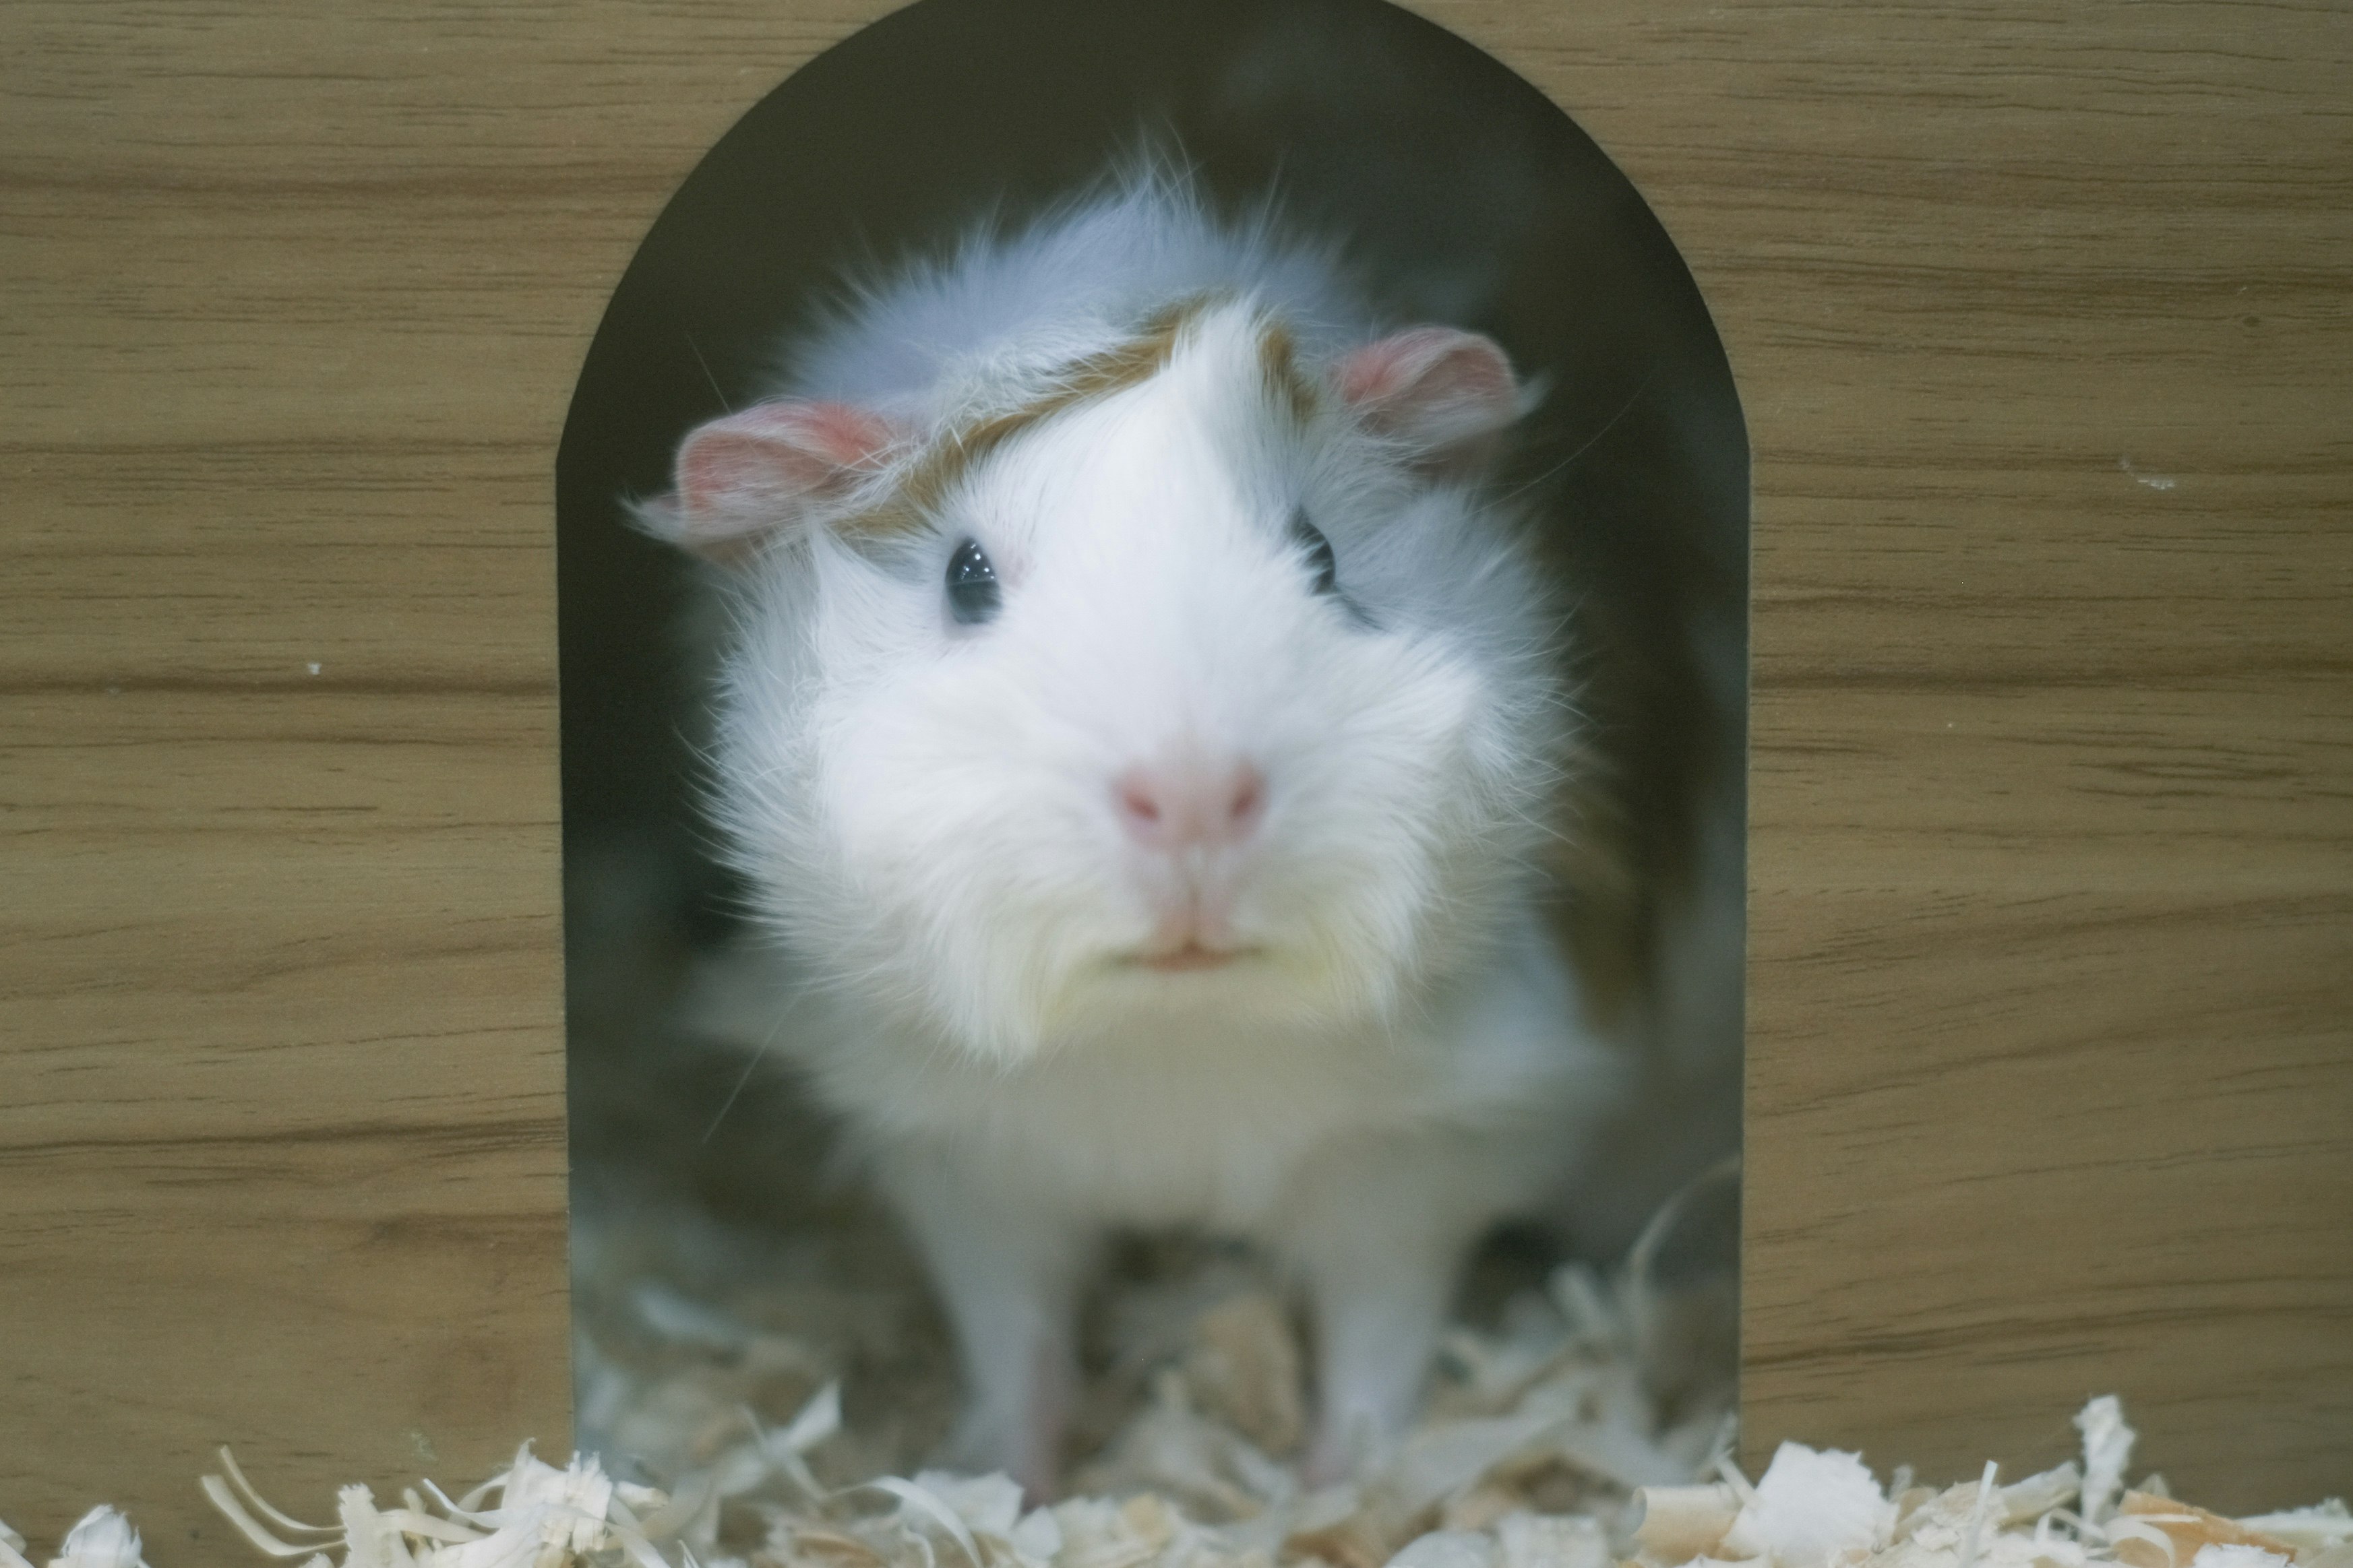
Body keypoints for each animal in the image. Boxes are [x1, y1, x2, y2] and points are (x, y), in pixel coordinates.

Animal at [634, 167, 1675, 1495]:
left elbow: (1375, 1351)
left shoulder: (1417, 1164)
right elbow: (1013, 1339)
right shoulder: (965, 1170)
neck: (1172, 1040)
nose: (1189, 792)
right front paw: (1011, 1483)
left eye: (1320, 552)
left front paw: (1334, 1491)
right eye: (967, 577)